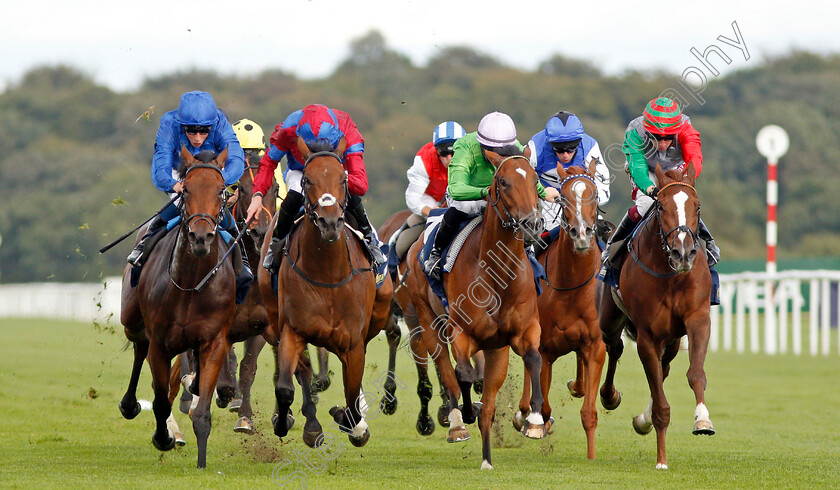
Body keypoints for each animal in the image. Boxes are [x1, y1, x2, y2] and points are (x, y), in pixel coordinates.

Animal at [118, 145, 236, 468]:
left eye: (221, 190)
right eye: (187, 189)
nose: (201, 237)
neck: (191, 285)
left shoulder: (214, 341)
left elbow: (203, 409)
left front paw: (202, 461)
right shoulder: (161, 342)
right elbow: (159, 400)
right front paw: (164, 438)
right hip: (132, 319)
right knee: (139, 347)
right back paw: (129, 405)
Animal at [258, 139, 396, 448]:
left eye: (343, 179)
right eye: (308, 180)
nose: (330, 222)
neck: (328, 276)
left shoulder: (353, 343)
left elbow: (351, 399)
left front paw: (353, 423)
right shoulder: (292, 331)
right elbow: (285, 387)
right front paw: (285, 422)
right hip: (274, 318)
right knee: (303, 372)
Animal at [406, 148, 544, 468]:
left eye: (535, 179)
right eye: (503, 181)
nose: (532, 224)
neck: (498, 274)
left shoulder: (523, 330)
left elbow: (534, 359)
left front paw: (534, 421)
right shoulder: (460, 332)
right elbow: (463, 375)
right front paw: (465, 414)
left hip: (496, 349)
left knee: (487, 396)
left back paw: (486, 458)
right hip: (428, 321)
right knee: (448, 372)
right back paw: (458, 423)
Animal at [512, 159, 616, 458]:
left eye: (594, 195)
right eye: (564, 197)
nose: (580, 234)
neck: (572, 287)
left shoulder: (595, 345)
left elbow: (589, 412)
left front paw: (591, 456)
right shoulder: (545, 348)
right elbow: (544, 404)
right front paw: (535, 422)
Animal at [596, 163, 716, 468]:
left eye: (698, 206)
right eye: (661, 206)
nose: (683, 253)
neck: (671, 275)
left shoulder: (698, 319)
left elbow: (695, 373)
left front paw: (702, 419)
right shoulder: (648, 335)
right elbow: (662, 403)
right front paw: (661, 459)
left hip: (671, 339)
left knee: (665, 368)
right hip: (609, 320)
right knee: (614, 348)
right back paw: (610, 396)